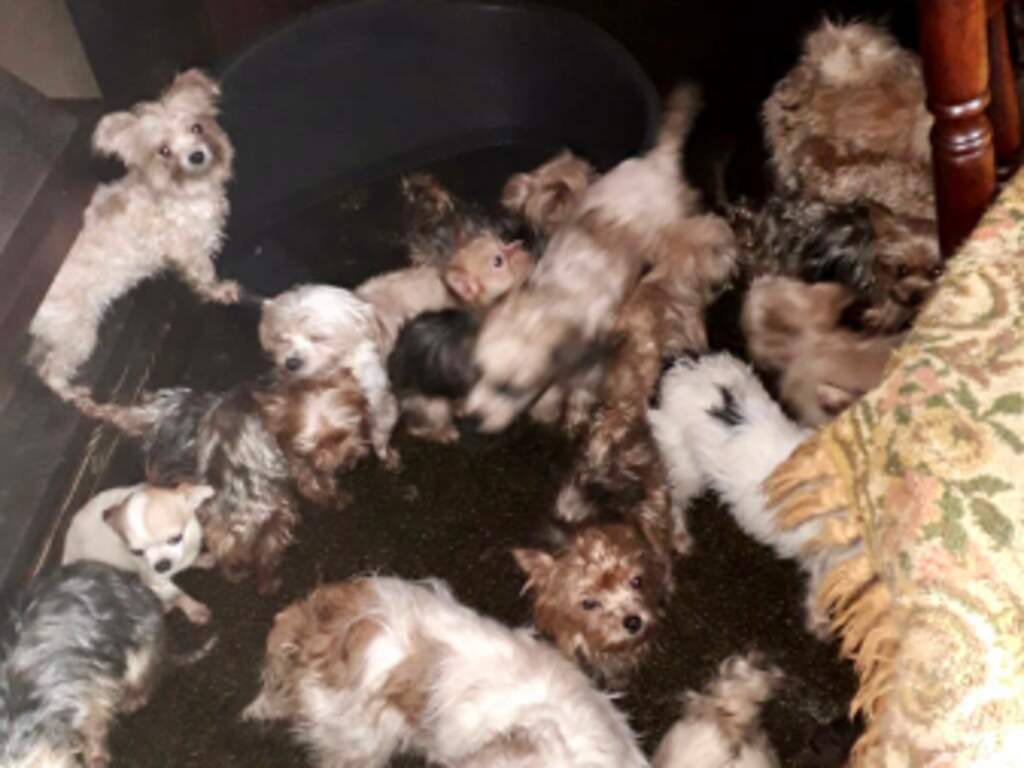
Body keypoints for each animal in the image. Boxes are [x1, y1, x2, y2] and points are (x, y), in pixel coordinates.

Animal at [0, 562, 211, 768]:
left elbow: (95, 725)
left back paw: (134, 697)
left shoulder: (90, 691)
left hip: (138, 648)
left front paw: (96, 756)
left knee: (147, 674)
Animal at [28, 69, 238, 396]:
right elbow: (205, 275)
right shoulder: (189, 251)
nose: (196, 156)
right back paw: (73, 393)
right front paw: (220, 291)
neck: (179, 192)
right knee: (51, 372)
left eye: (197, 127)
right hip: (78, 333)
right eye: (163, 151)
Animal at [61, 483, 215, 624]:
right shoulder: (154, 579)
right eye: (136, 552)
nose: (162, 565)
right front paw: (193, 609)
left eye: (176, 538)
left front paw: (201, 560)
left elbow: (192, 559)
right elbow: (177, 595)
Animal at [465, 84, 706, 433]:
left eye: (510, 388)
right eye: (477, 372)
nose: (470, 420)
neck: (553, 299)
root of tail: (658, 160)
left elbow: (576, 386)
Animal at [649, 353, 860, 636]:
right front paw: (819, 624)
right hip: (685, 465)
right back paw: (680, 536)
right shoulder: (826, 555)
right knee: (674, 496)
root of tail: (678, 364)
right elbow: (820, 589)